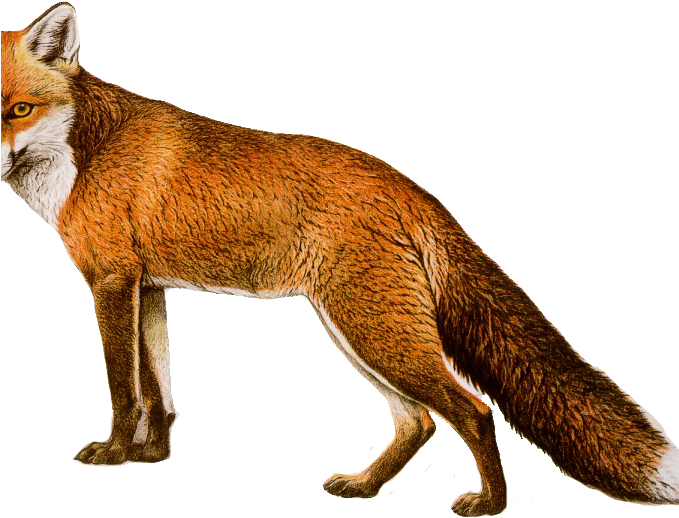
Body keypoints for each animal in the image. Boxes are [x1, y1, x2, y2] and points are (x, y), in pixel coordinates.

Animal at [2, 3, 678, 515]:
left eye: (18, 109)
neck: (82, 153)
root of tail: (409, 187)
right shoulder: (148, 287)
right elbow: (157, 389)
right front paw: (151, 456)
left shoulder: (112, 281)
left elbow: (124, 386)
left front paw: (115, 454)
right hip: (357, 331)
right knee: (418, 423)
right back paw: (366, 485)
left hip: (372, 331)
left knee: (473, 411)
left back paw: (489, 504)